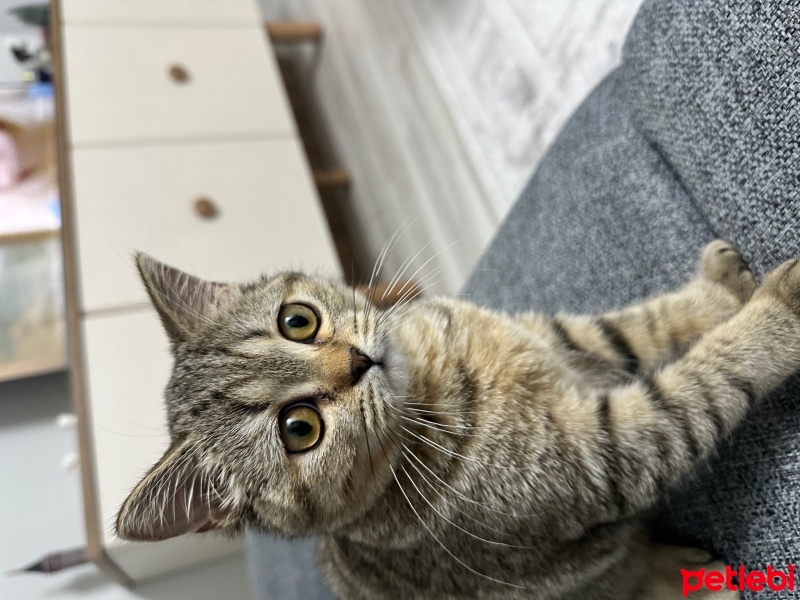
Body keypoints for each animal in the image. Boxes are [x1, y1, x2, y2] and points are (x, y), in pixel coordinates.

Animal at [114, 241, 800, 596]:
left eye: (298, 320)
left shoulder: (556, 337)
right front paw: (777, 309)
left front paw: (717, 289)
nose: (360, 360)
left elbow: (635, 327)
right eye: (299, 428)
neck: (435, 379)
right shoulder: (605, 455)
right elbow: (701, 382)